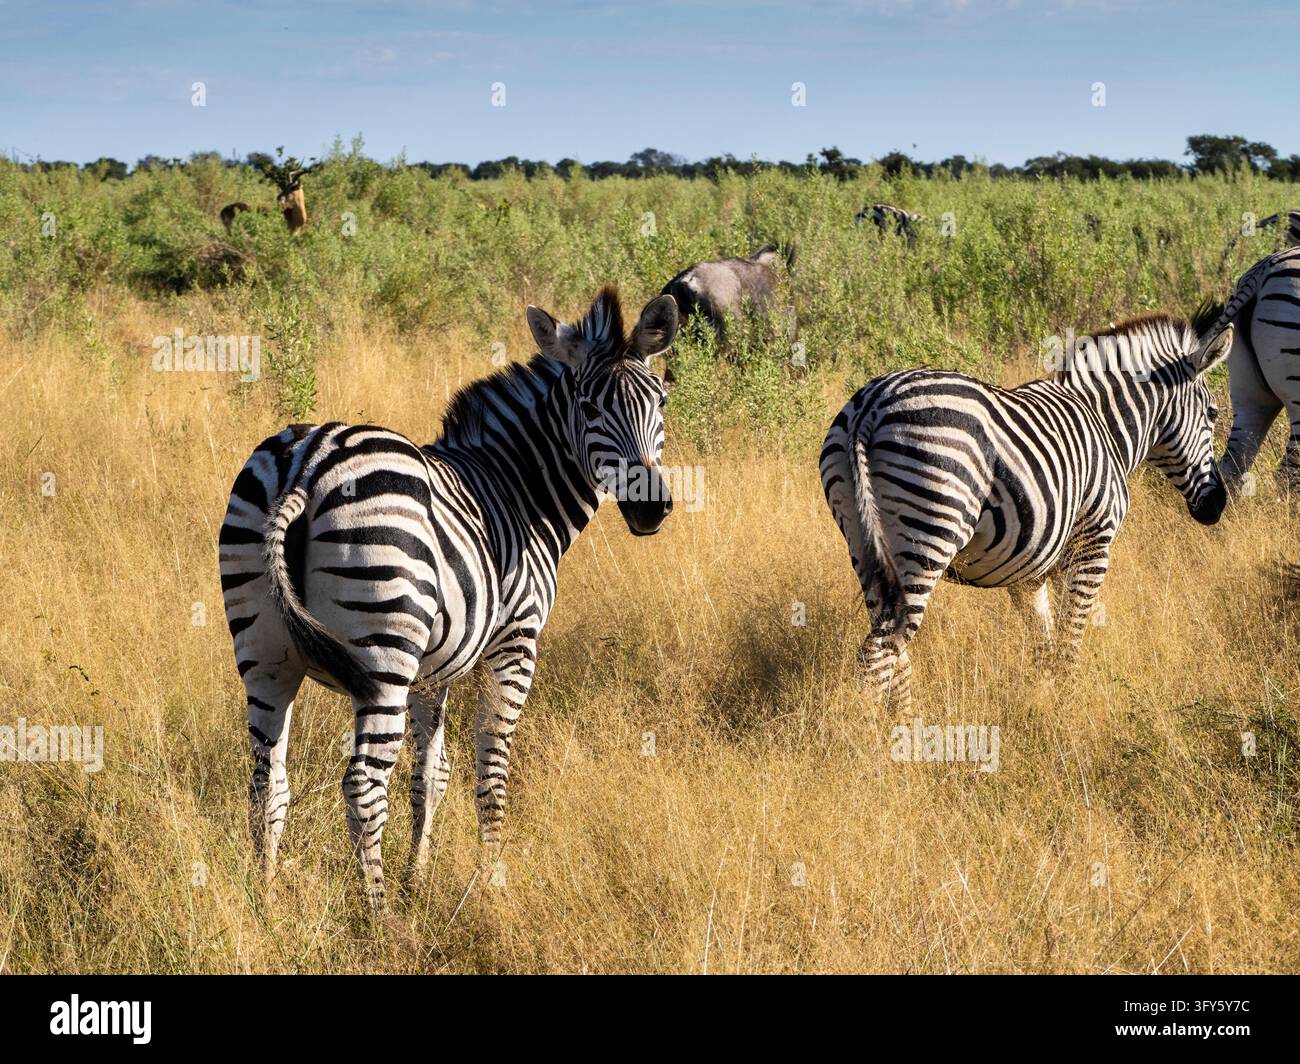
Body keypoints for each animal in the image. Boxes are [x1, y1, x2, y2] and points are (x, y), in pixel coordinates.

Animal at [220, 287, 679, 909]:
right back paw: (380, 918)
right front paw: (491, 881)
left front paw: (418, 876)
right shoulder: (515, 644)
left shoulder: (431, 671)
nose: (650, 508)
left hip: (265, 655)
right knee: (363, 785)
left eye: (660, 400)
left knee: (267, 781)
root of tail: (308, 460)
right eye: (588, 407)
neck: (517, 491)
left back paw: (266, 903)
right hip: (382, 650)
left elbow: (431, 775)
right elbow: (492, 768)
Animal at [820, 308, 1234, 711]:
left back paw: (904, 721)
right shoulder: (1092, 548)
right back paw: (874, 733)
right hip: (928, 532)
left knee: (890, 646)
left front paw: (1042, 704)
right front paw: (1066, 712)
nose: (1217, 506)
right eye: (1213, 413)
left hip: (862, 540)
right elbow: (1069, 641)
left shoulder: (1029, 573)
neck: (1104, 423)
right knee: (879, 651)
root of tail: (873, 404)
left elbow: (1043, 644)